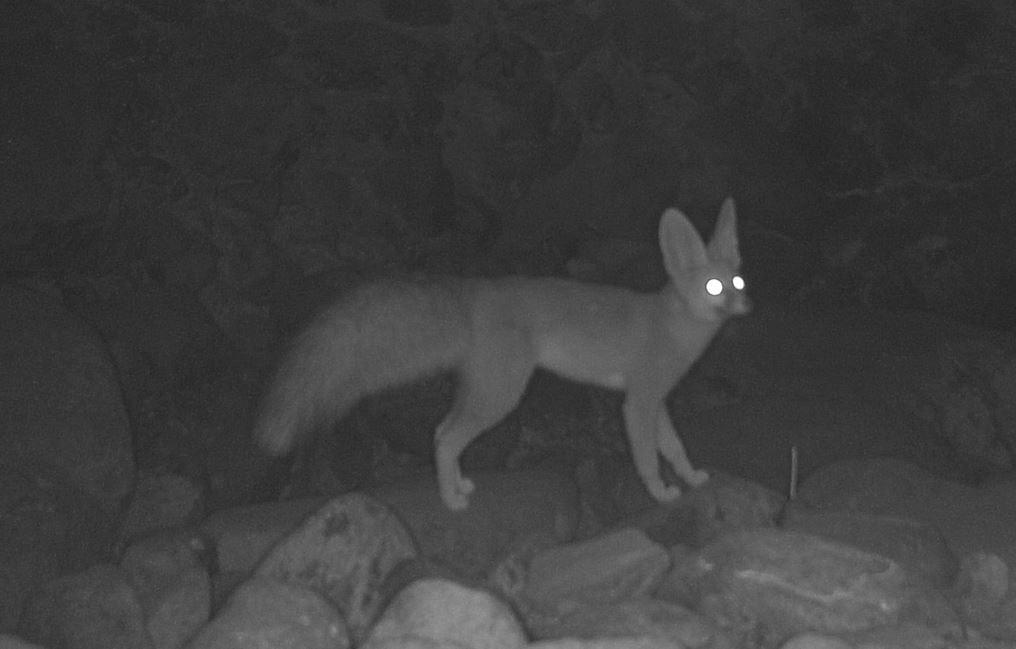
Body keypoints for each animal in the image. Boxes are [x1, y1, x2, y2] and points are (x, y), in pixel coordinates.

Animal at [254, 198, 749, 510]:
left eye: (739, 282)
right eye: (713, 287)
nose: (743, 307)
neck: (671, 326)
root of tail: (475, 292)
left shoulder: (656, 401)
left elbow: (675, 447)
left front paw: (691, 479)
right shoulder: (637, 403)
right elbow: (648, 458)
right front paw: (661, 494)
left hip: (485, 393)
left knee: (441, 433)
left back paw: (456, 487)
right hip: (501, 397)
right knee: (446, 438)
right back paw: (451, 501)